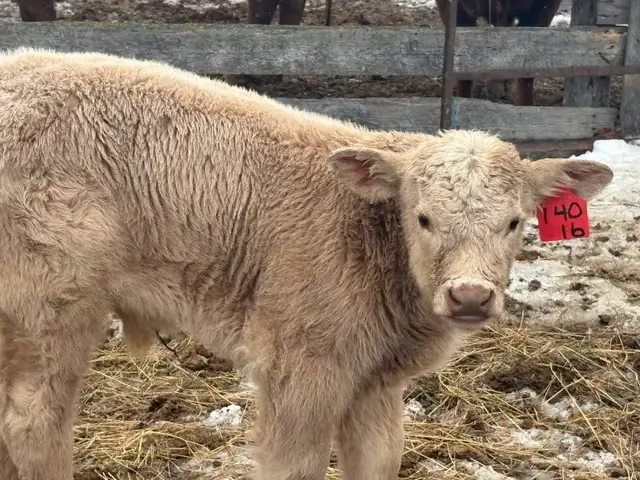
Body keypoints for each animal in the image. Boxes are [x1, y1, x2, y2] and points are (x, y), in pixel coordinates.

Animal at [0, 48, 612, 480]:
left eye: (514, 222)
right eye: (422, 218)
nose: (469, 296)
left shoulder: (375, 381)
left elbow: (379, 461)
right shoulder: (299, 366)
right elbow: (295, 466)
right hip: (52, 306)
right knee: (33, 425)